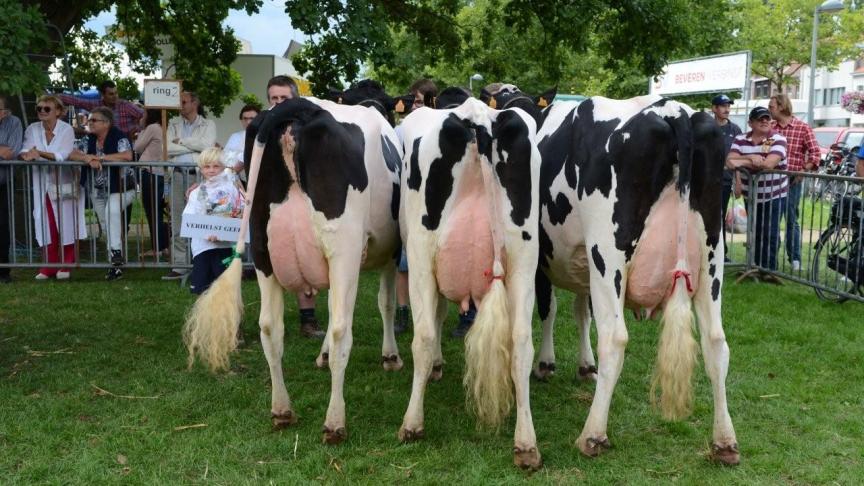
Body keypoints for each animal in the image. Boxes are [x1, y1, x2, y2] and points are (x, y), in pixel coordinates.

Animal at [183, 96, 404, 444]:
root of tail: (294, 107)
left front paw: (322, 355)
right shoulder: (391, 251)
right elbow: (386, 302)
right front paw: (391, 356)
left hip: (262, 248)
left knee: (270, 327)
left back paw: (281, 410)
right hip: (343, 247)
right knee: (341, 329)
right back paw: (334, 422)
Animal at [396, 97, 540, 468]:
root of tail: (477, 115)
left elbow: (434, 319)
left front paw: (436, 365)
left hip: (420, 250)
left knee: (423, 336)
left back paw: (412, 423)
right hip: (524, 256)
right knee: (521, 341)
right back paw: (526, 443)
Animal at [532, 94, 744, 464]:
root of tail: (675, 111)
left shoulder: (546, 260)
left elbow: (550, 308)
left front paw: (545, 364)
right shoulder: (582, 265)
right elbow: (581, 312)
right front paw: (585, 366)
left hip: (607, 253)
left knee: (615, 339)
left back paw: (592, 435)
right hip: (713, 255)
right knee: (716, 343)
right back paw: (724, 442)